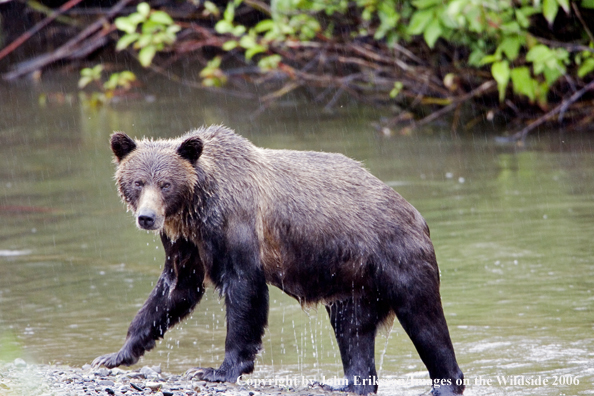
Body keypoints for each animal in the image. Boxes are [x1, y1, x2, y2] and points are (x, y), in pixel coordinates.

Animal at [92, 125, 462, 394]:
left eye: (166, 184)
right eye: (138, 182)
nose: (147, 217)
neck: (196, 209)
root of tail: (414, 213)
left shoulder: (237, 227)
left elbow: (244, 291)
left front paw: (217, 369)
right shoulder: (185, 242)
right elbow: (175, 290)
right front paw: (114, 354)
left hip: (396, 256)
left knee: (424, 319)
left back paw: (443, 384)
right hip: (352, 281)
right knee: (353, 330)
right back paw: (346, 383)